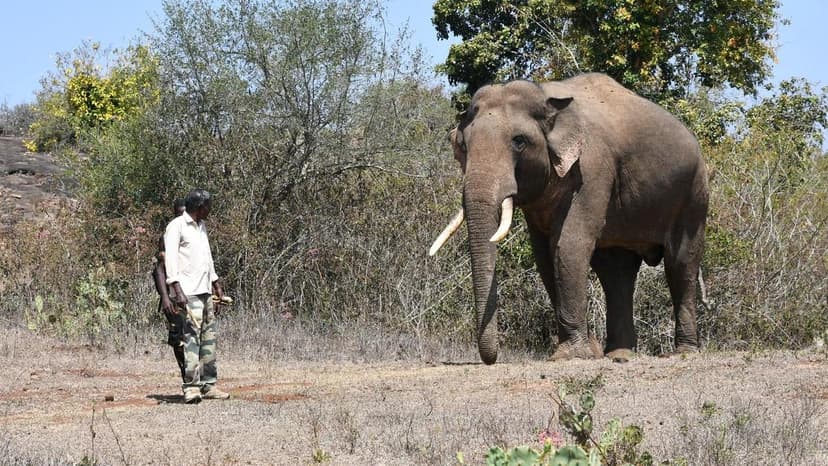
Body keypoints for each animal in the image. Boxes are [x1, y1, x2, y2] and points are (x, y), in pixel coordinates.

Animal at [430, 73, 709, 365]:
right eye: (463, 146)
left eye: (519, 141)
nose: (492, 359)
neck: (546, 97)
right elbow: (544, 255)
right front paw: (588, 351)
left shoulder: (593, 169)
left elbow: (568, 246)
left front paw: (571, 355)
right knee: (616, 274)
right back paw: (619, 354)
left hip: (694, 194)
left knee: (681, 264)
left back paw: (683, 352)